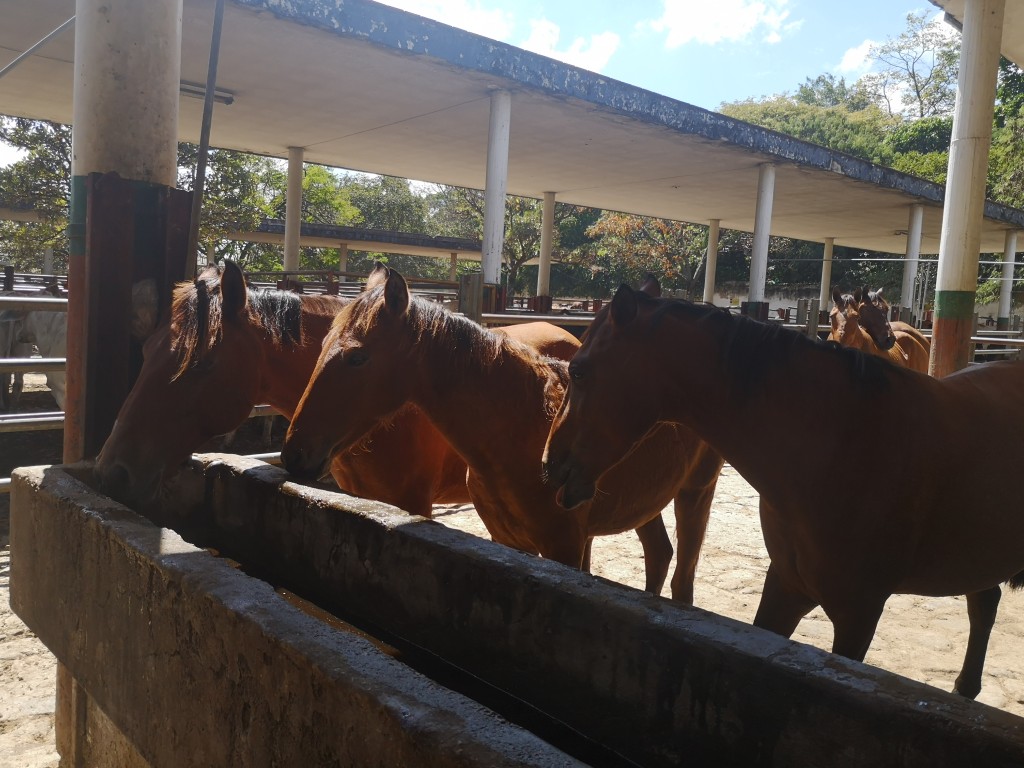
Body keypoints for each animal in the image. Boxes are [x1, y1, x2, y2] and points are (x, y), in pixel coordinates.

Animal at [282, 265, 724, 601]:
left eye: (357, 357)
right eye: (320, 344)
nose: (294, 453)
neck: (522, 429)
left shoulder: (565, 546)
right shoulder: (508, 542)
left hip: (696, 494)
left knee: (683, 576)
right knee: (658, 553)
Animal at [543, 283, 1024, 698]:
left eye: (580, 371)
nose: (549, 464)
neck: (842, 441)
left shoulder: (858, 613)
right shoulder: (786, 585)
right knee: (985, 603)